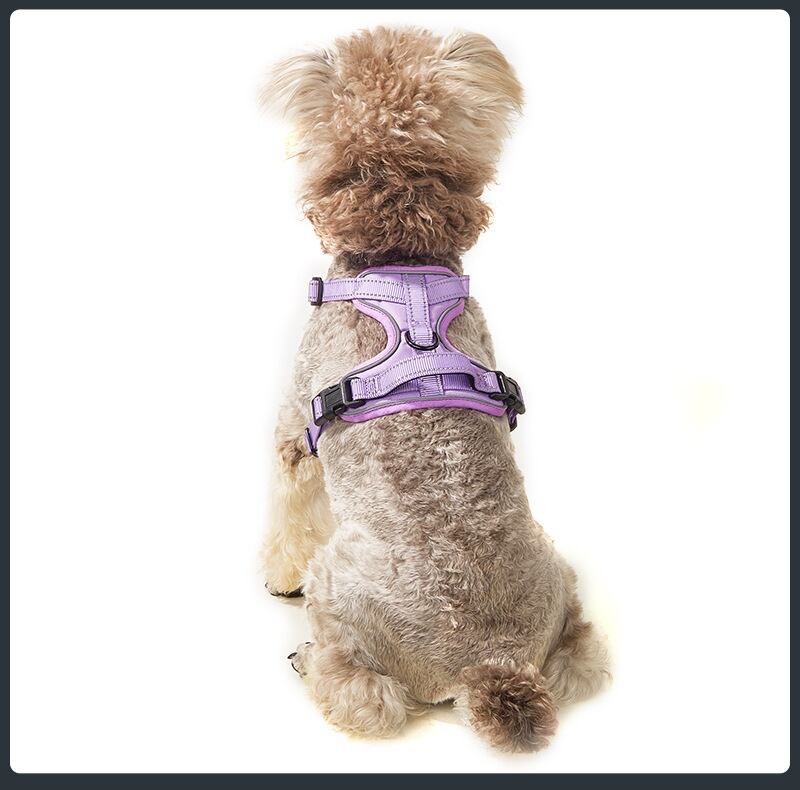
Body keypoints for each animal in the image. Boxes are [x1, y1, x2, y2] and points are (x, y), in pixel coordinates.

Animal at [261, 26, 610, 752]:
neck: (403, 266)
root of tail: (495, 665)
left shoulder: (293, 424)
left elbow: (287, 507)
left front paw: (275, 576)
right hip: (560, 577)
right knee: (583, 654)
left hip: (336, 582)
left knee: (363, 695)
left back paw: (309, 659)